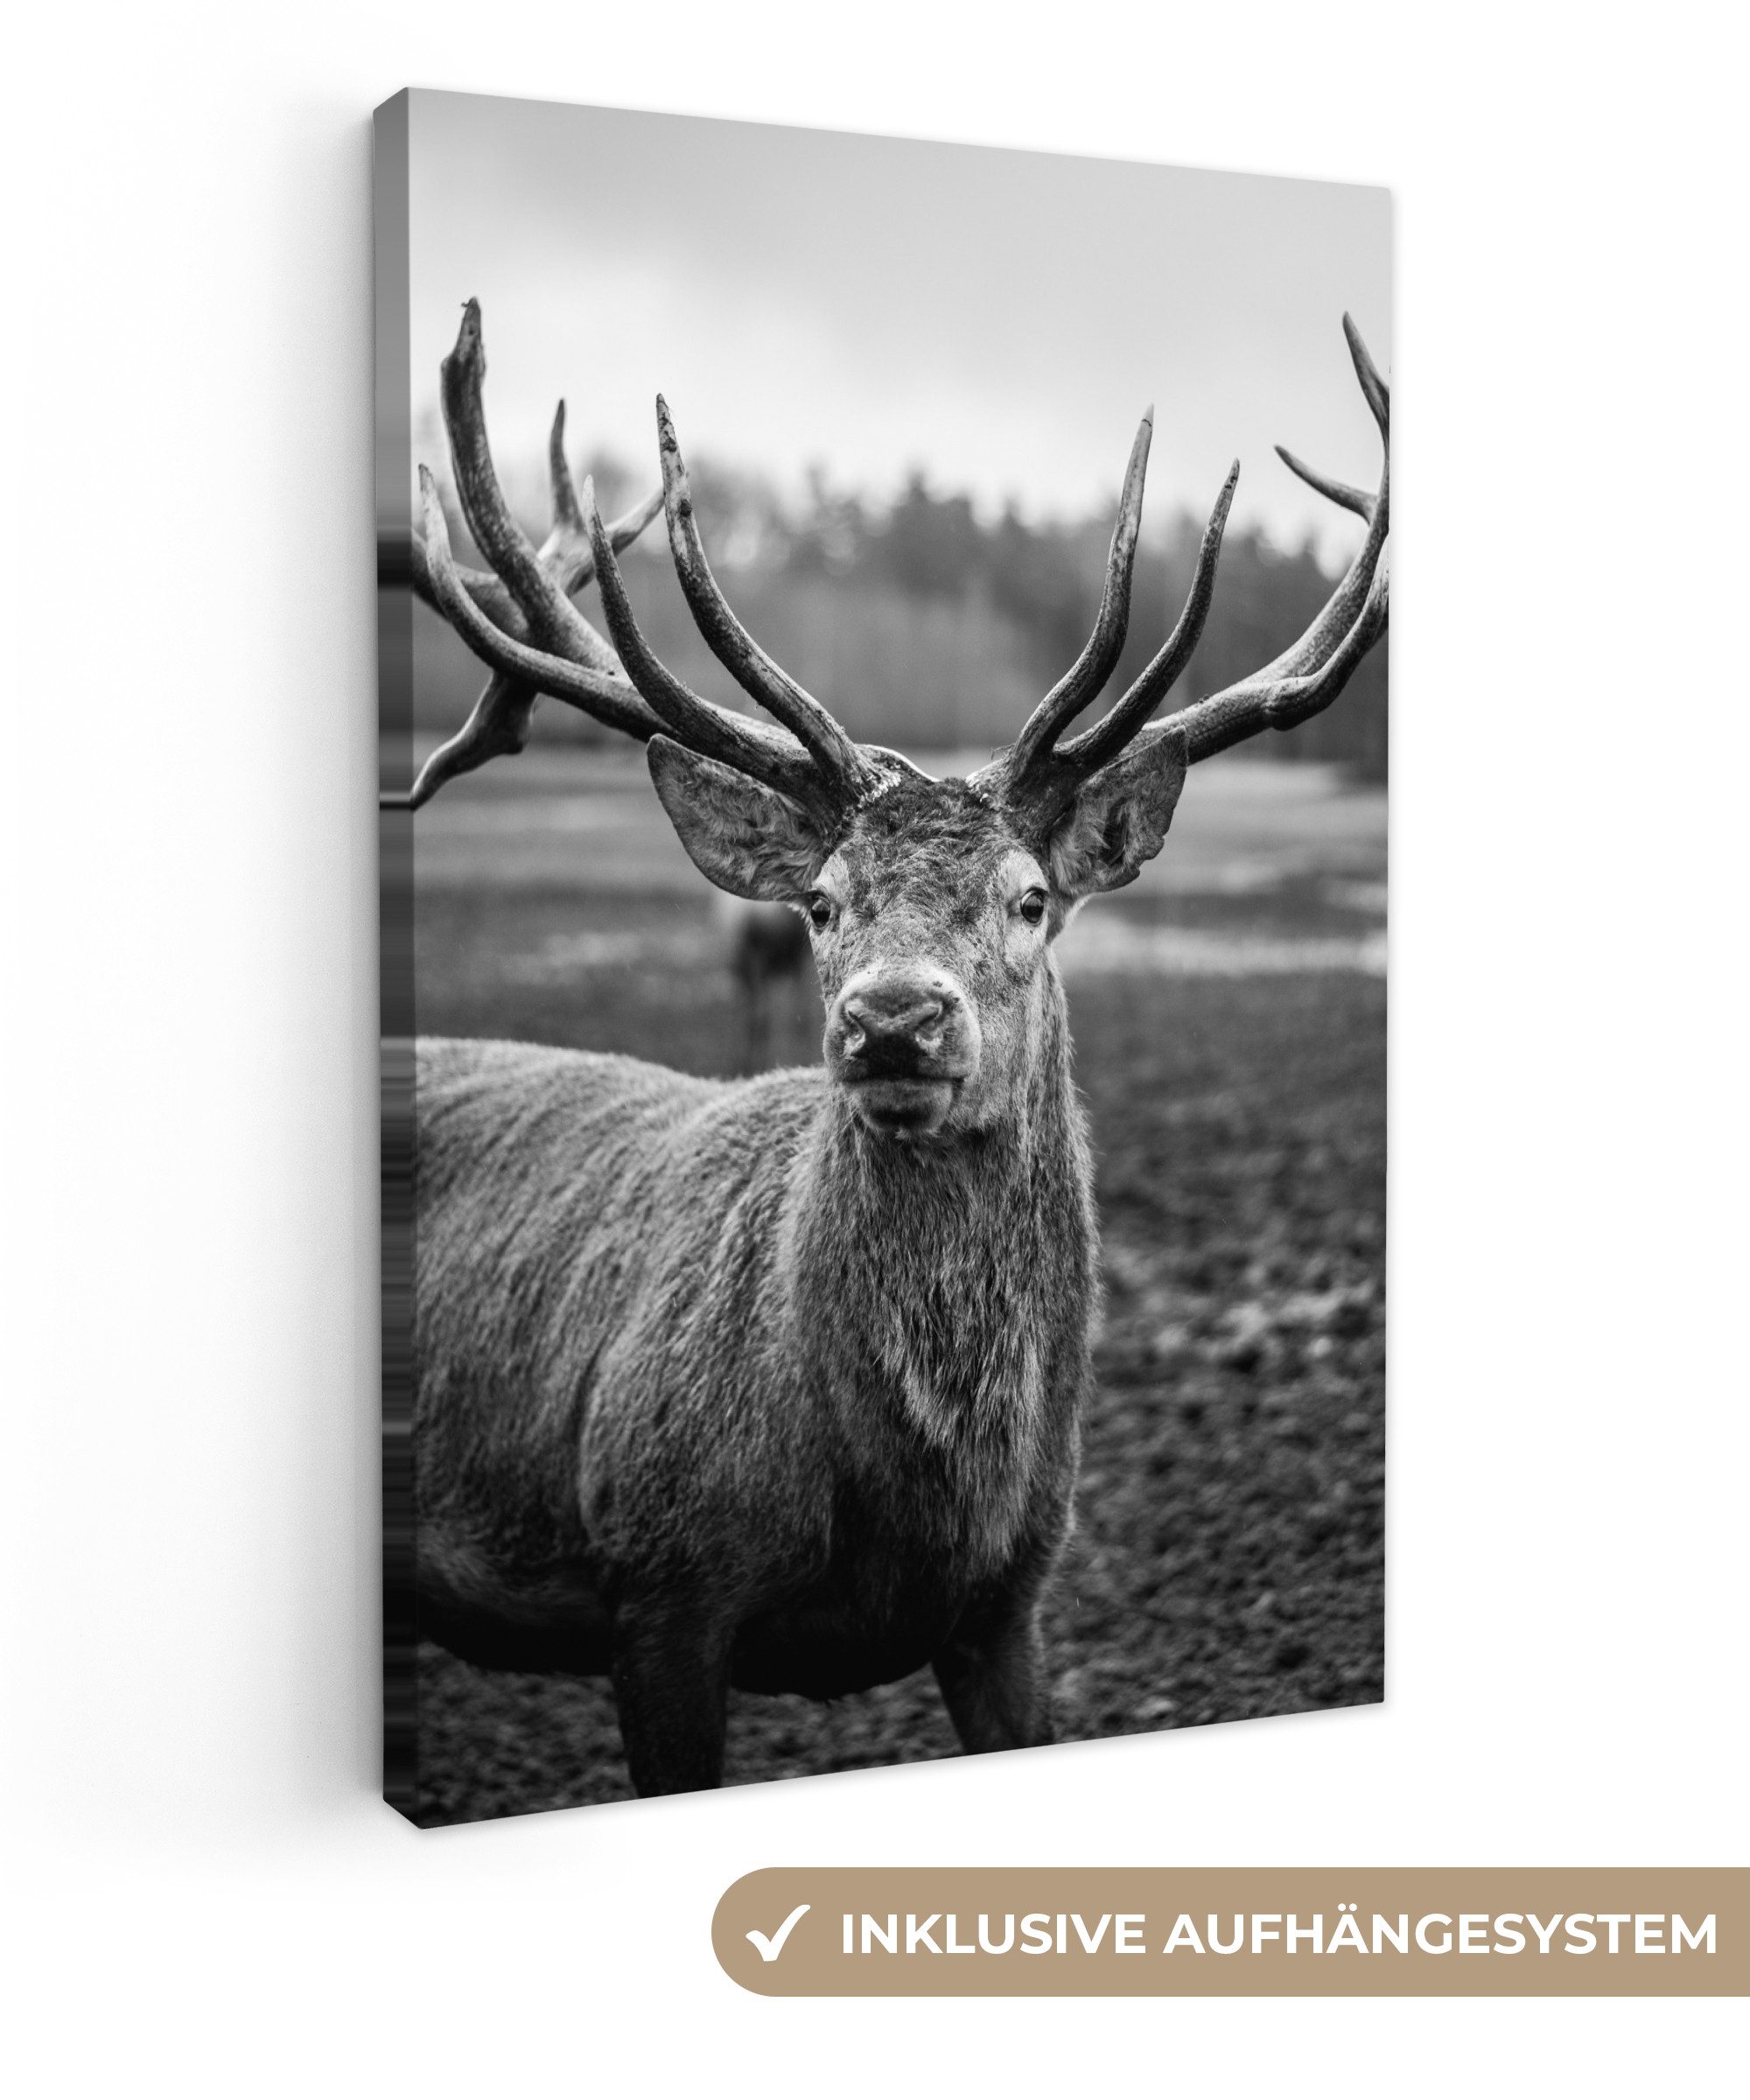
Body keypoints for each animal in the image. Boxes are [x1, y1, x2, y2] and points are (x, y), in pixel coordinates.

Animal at [388, 299, 1388, 1797]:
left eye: (1030, 898)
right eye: (819, 901)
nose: (893, 1019)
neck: (915, 1508)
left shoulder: (1011, 1607)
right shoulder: (658, 1584)